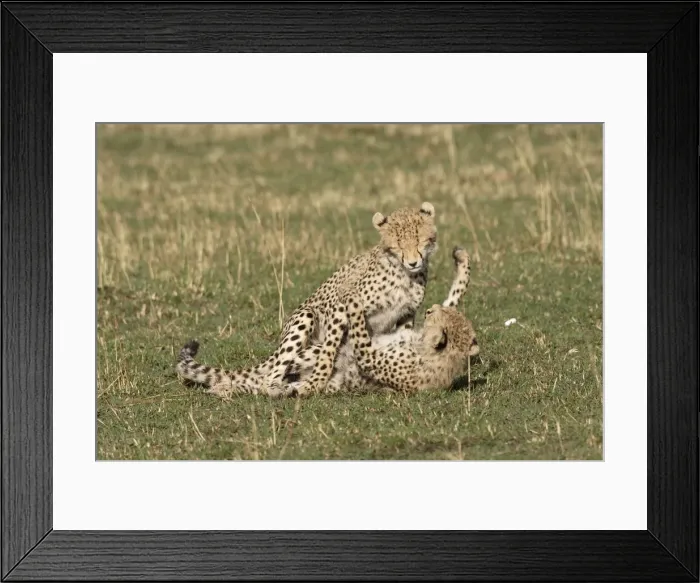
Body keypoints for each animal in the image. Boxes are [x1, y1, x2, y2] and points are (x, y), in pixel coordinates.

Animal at [176, 201, 440, 397]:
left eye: (420, 239)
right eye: (397, 244)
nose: (413, 262)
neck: (404, 274)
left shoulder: (405, 313)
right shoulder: (340, 305)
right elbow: (330, 350)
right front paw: (316, 383)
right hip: (305, 317)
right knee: (270, 375)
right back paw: (276, 389)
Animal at [177, 247, 476, 397]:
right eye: (434, 313)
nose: (429, 311)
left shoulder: (370, 357)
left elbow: (361, 332)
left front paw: (352, 300)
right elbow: (457, 293)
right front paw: (461, 259)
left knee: (264, 382)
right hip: (307, 337)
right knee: (267, 372)